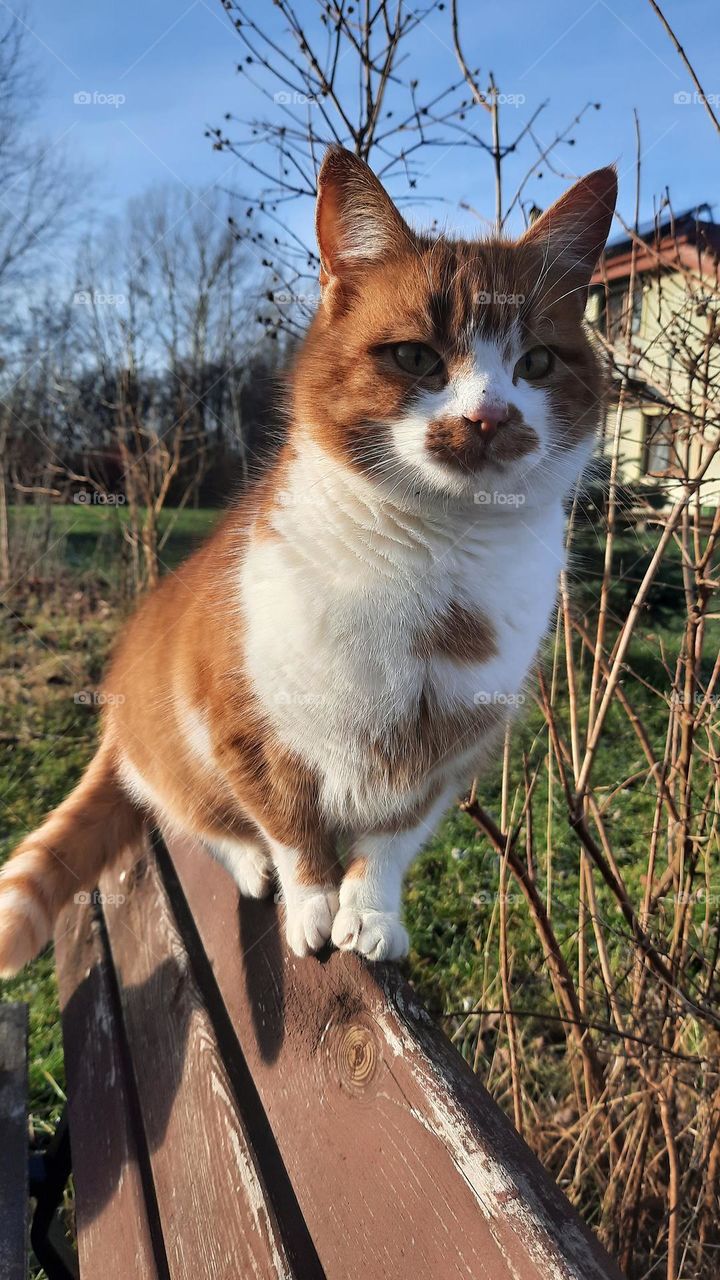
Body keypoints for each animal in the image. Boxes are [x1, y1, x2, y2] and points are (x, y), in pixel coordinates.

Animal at [0, 147, 617, 967]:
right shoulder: (240, 720)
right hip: (167, 742)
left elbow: (391, 839)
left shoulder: (449, 754)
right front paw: (314, 906)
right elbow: (291, 824)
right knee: (185, 809)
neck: (434, 557)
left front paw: (371, 912)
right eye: (415, 357)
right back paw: (246, 862)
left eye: (538, 363)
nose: (489, 417)